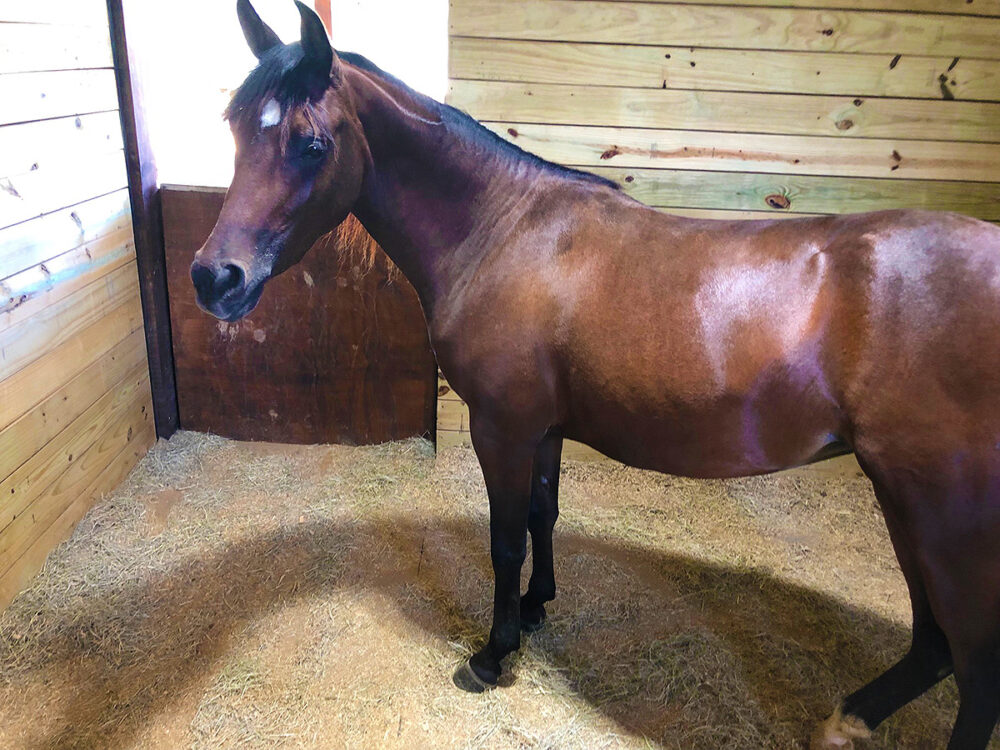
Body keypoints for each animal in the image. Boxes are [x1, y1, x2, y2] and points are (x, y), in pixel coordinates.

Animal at [191, 2, 1000, 748]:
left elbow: (505, 538)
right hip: (905, 502)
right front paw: (537, 607)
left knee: (974, 664)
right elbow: (542, 517)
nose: (215, 278)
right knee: (935, 648)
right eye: (234, 128)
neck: (504, 232)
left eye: (312, 144)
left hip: (941, 516)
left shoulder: (503, 428)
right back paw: (849, 719)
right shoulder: (543, 429)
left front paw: (494, 654)